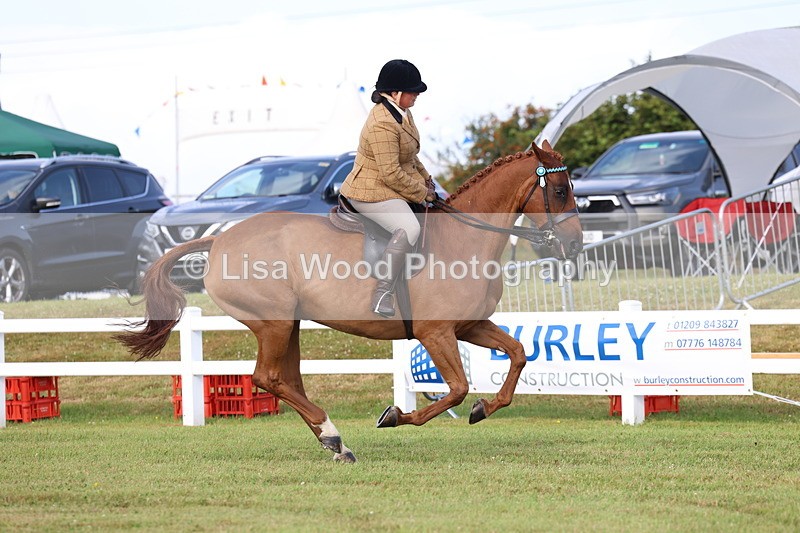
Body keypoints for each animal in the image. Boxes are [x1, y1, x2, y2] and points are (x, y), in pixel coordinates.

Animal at [116, 140, 583, 462]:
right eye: (560, 190)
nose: (576, 245)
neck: (465, 239)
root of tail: (218, 241)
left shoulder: (470, 326)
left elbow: (518, 354)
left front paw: (484, 409)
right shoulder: (436, 332)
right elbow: (456, 389)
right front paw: (395, 416)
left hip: (289, 325)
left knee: (288, 379)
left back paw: (333, 442)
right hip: (273, 322)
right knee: (270, 378)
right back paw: (333, 434)